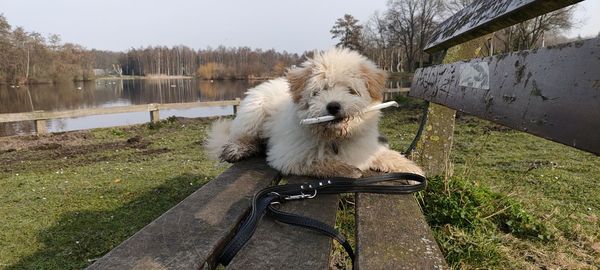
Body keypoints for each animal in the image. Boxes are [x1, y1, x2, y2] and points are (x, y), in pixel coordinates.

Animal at [206, 48, 422, 178]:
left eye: (351, 90)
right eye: (318, 91)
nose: (333, 106)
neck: (335, 136)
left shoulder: (364, 147)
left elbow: (386, 155)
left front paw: (412, 170)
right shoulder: (288, 155)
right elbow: (316, 161)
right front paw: (347, 170)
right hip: (252, 113)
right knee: (241, 137)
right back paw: (237, 149)